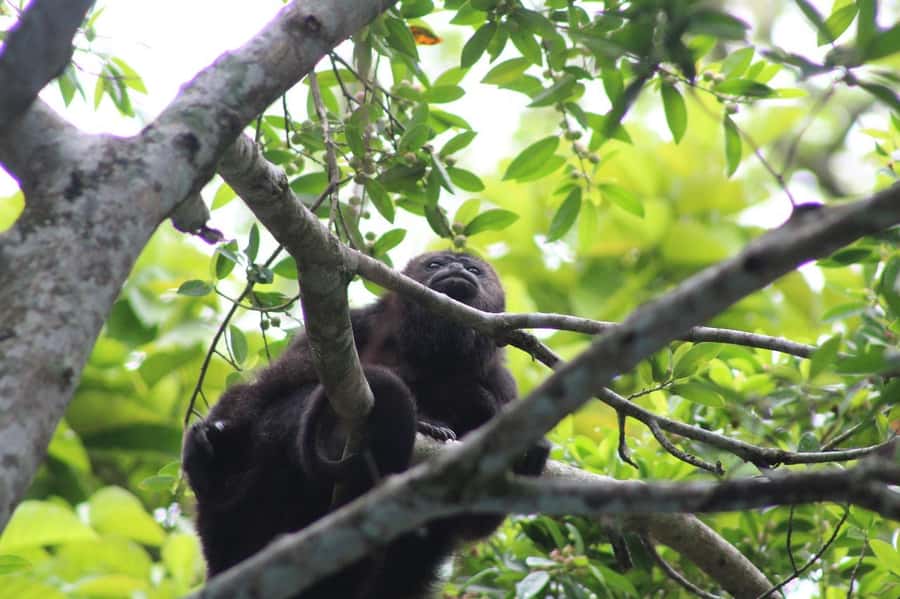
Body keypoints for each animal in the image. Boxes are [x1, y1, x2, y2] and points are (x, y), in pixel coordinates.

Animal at [182, 250, 550, 598]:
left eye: (474, 270)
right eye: (435, 264)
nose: (457, 269)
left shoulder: (503, 384)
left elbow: (477, 521)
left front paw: (531, 452)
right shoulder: (360, 325)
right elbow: (272, 385)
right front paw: (206, 450)